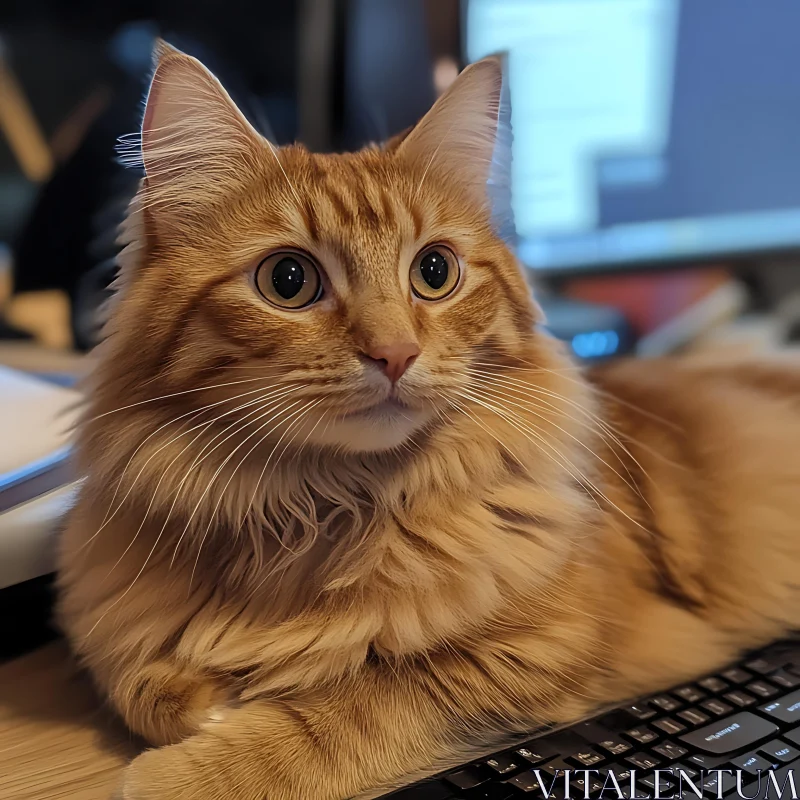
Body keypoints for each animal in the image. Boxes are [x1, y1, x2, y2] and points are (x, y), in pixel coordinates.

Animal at [56, 42, 800, 800]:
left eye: (435, 271)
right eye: (288, 281)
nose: (395, 353)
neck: (311, 509)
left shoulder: (533, 656)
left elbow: (348, 706)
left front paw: (190, 769)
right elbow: (142, 686)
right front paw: (203, 701)